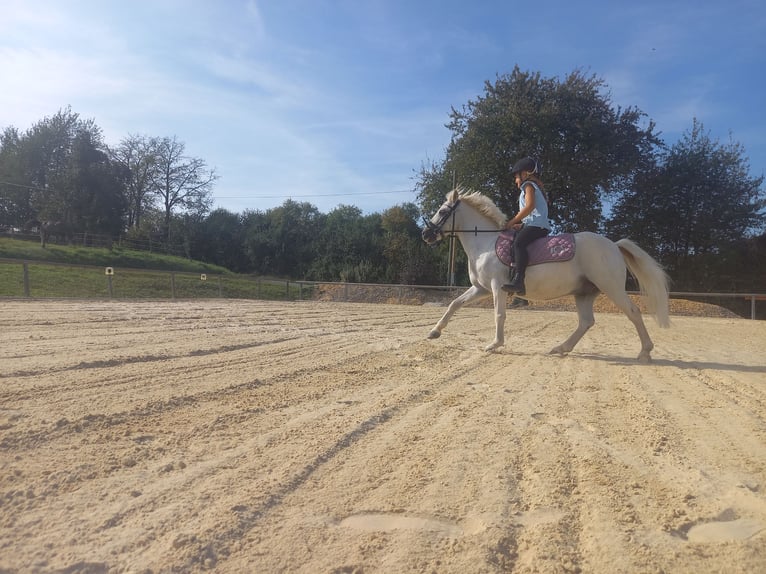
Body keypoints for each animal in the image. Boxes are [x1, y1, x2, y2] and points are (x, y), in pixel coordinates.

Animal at [420, 187, 672, 362]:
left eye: (442, 211)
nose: (426, 235)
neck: (485, 243)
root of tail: (614, 245)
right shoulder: (480, 288)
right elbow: (455, 304)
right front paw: (434, 332)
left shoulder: (496, 287)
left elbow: (499, 315)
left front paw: (495, 344)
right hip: (584, 293)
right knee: (586, 322)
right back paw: (561, 348)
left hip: (612, 287)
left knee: (633, 313)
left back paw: (645, 353)